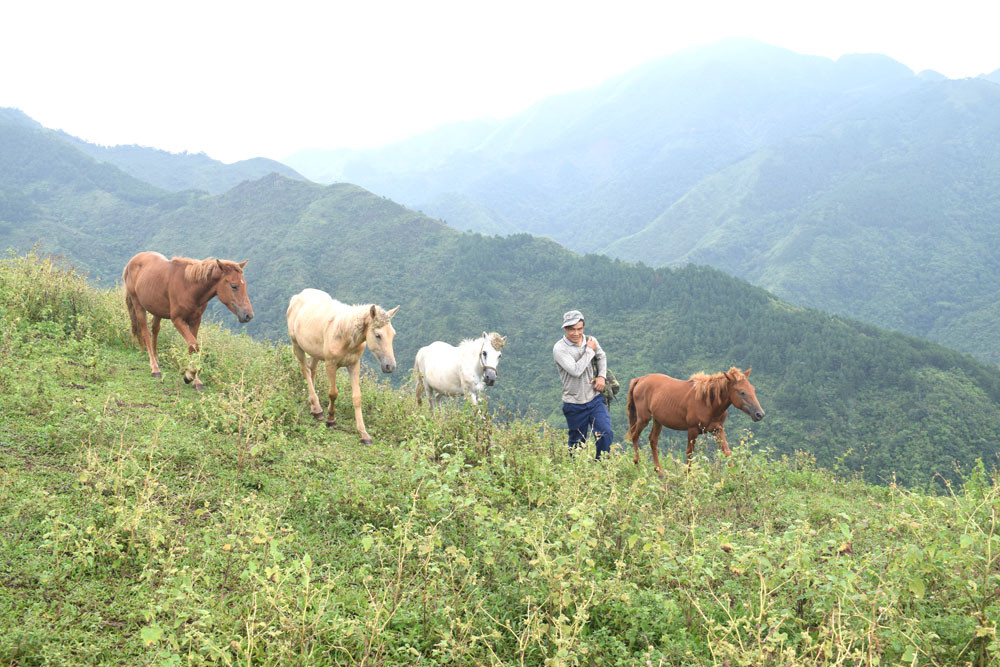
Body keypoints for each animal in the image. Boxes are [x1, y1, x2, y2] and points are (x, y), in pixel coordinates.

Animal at [122, 252, 254, 392]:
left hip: (156, 308)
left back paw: (157, 360)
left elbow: (193, 347)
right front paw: (189, 375)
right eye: (234, 286)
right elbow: (193, 345)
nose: (248, 315)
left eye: (244, 285)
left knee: (155, 330)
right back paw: (155, 368)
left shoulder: (195, 320)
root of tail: (132, 261)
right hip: (138, 304)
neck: (189, 287)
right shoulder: (178, 320)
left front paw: (195, 379)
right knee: (145, 332)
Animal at [286, 288, 398, 444]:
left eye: (393, 334)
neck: (345, 334)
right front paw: (331, 420)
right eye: (378, 335)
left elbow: (357, 397)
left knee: (312, 370)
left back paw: (313, 407)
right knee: (305, 371)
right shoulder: (331, 364)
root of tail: (298, 296)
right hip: (296, 345)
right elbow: (333, 393)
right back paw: (318, 410)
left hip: (315, 352)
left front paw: (364, 434)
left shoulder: (354, 365)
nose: (390, 366)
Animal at [624, 366, 764, 474]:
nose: (760, 414)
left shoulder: (718, 430)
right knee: (635, 435)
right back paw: (637, 462)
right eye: (742, 392)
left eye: (753, 389)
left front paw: (736, 476)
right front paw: (687, 477)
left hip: (658, 421)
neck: (708, 403)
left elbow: (727, 453)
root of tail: (640, 379)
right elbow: (690, 453)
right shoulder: (692, 430)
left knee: (653, 440)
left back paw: (660, 472)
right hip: (644, 418)